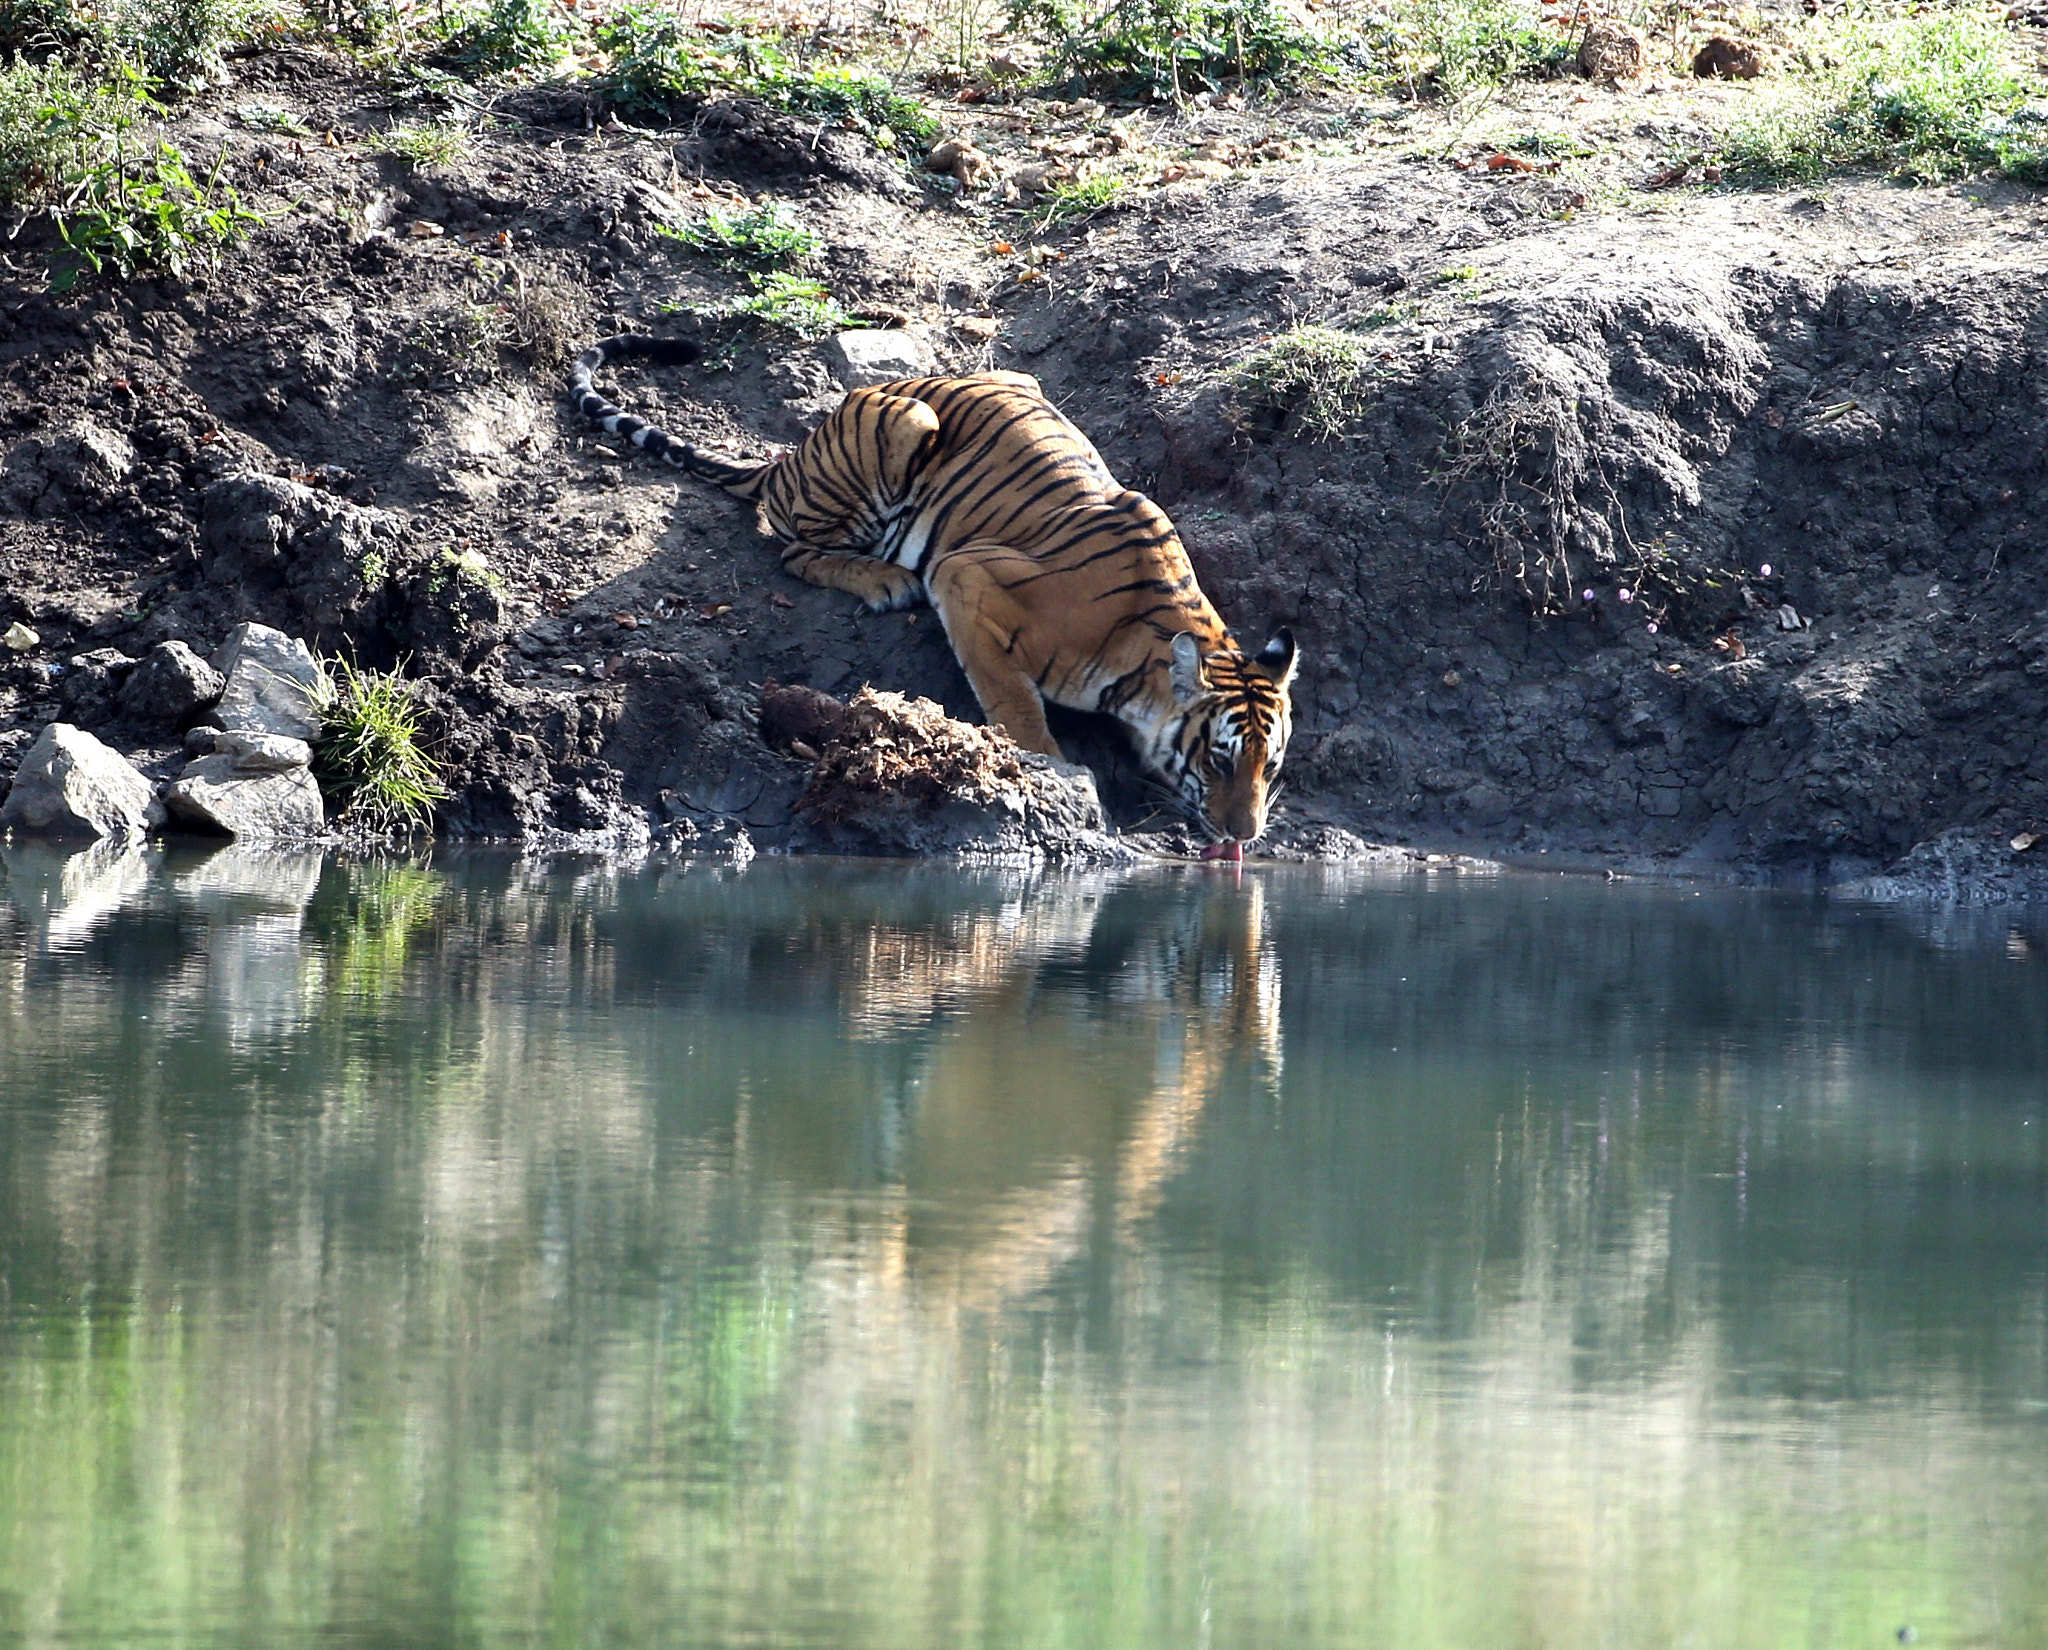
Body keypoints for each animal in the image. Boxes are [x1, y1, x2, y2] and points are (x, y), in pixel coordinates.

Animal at [569, 333, 1299, 852]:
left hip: (1014, 380)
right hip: (902, 428)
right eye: (1221, 759)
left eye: (1271, 766)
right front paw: (1058, 772)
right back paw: (884, 578)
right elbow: (1015, 705)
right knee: (790, 544)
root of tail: (793, 454)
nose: (1245, 836)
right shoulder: (967, 575)